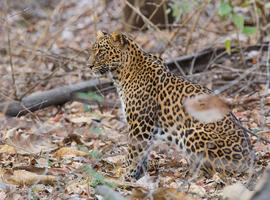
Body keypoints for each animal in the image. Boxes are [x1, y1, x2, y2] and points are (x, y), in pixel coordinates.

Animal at [88, 30, 253, 180]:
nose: (88, 66)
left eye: (101, 52)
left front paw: (127, 176)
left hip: (193, 132)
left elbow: (133, 153)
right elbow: (143, 153)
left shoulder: (140, 124)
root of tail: (250, 161)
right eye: (92, 50)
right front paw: (140, 175)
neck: (121, 73)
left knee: (215, 171)